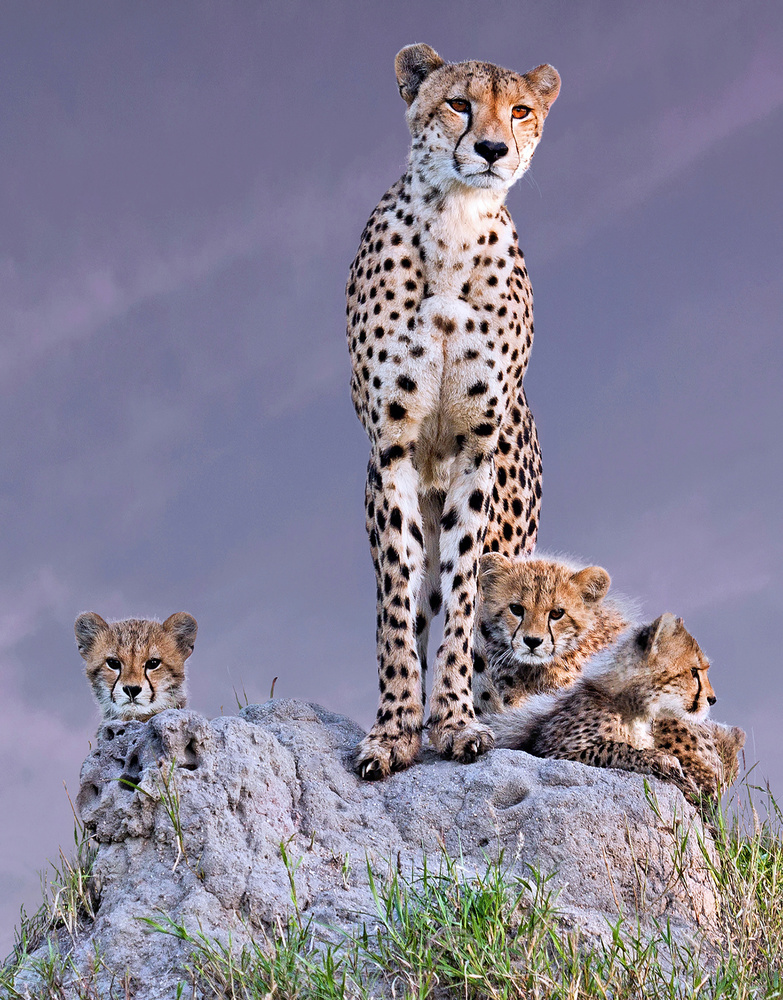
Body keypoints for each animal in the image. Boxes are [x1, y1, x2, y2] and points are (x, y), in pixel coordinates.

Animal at [346, 45, 560, 780]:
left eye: (518, 110)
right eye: (458, 104)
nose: (492, 148)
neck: (454, 226)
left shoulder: (476, 455)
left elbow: (470, 596)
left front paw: (458, 723)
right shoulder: (391, 450)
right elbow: (393, 603)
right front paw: (394, 730)